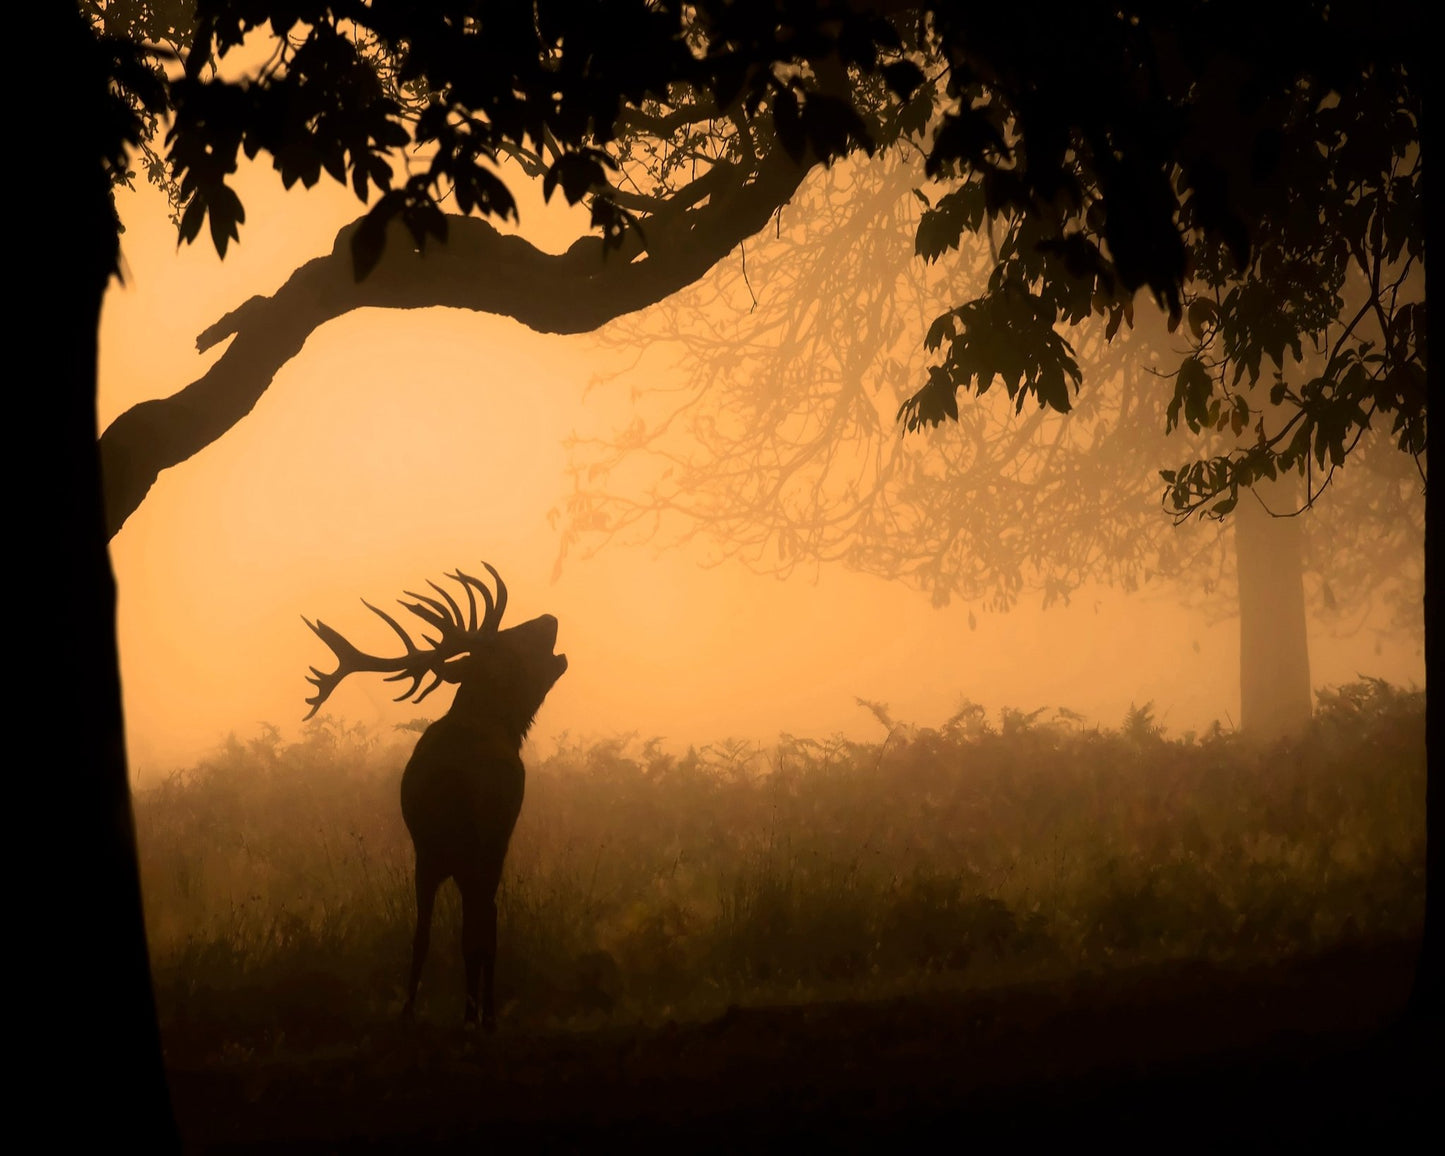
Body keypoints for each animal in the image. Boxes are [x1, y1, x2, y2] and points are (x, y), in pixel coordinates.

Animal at [302, 562, 567, 1031]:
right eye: (512, 640)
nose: (549, 619)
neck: (502, 723)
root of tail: (453, 784)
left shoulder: (432, 855)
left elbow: (432, 934)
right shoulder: (495, 840)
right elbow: (484, 929)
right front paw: (482, 1014)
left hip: (429, 855)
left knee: (425, 931)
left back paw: (414, 1010)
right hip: (480, 848)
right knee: (481, 924)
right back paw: (478, 1014)